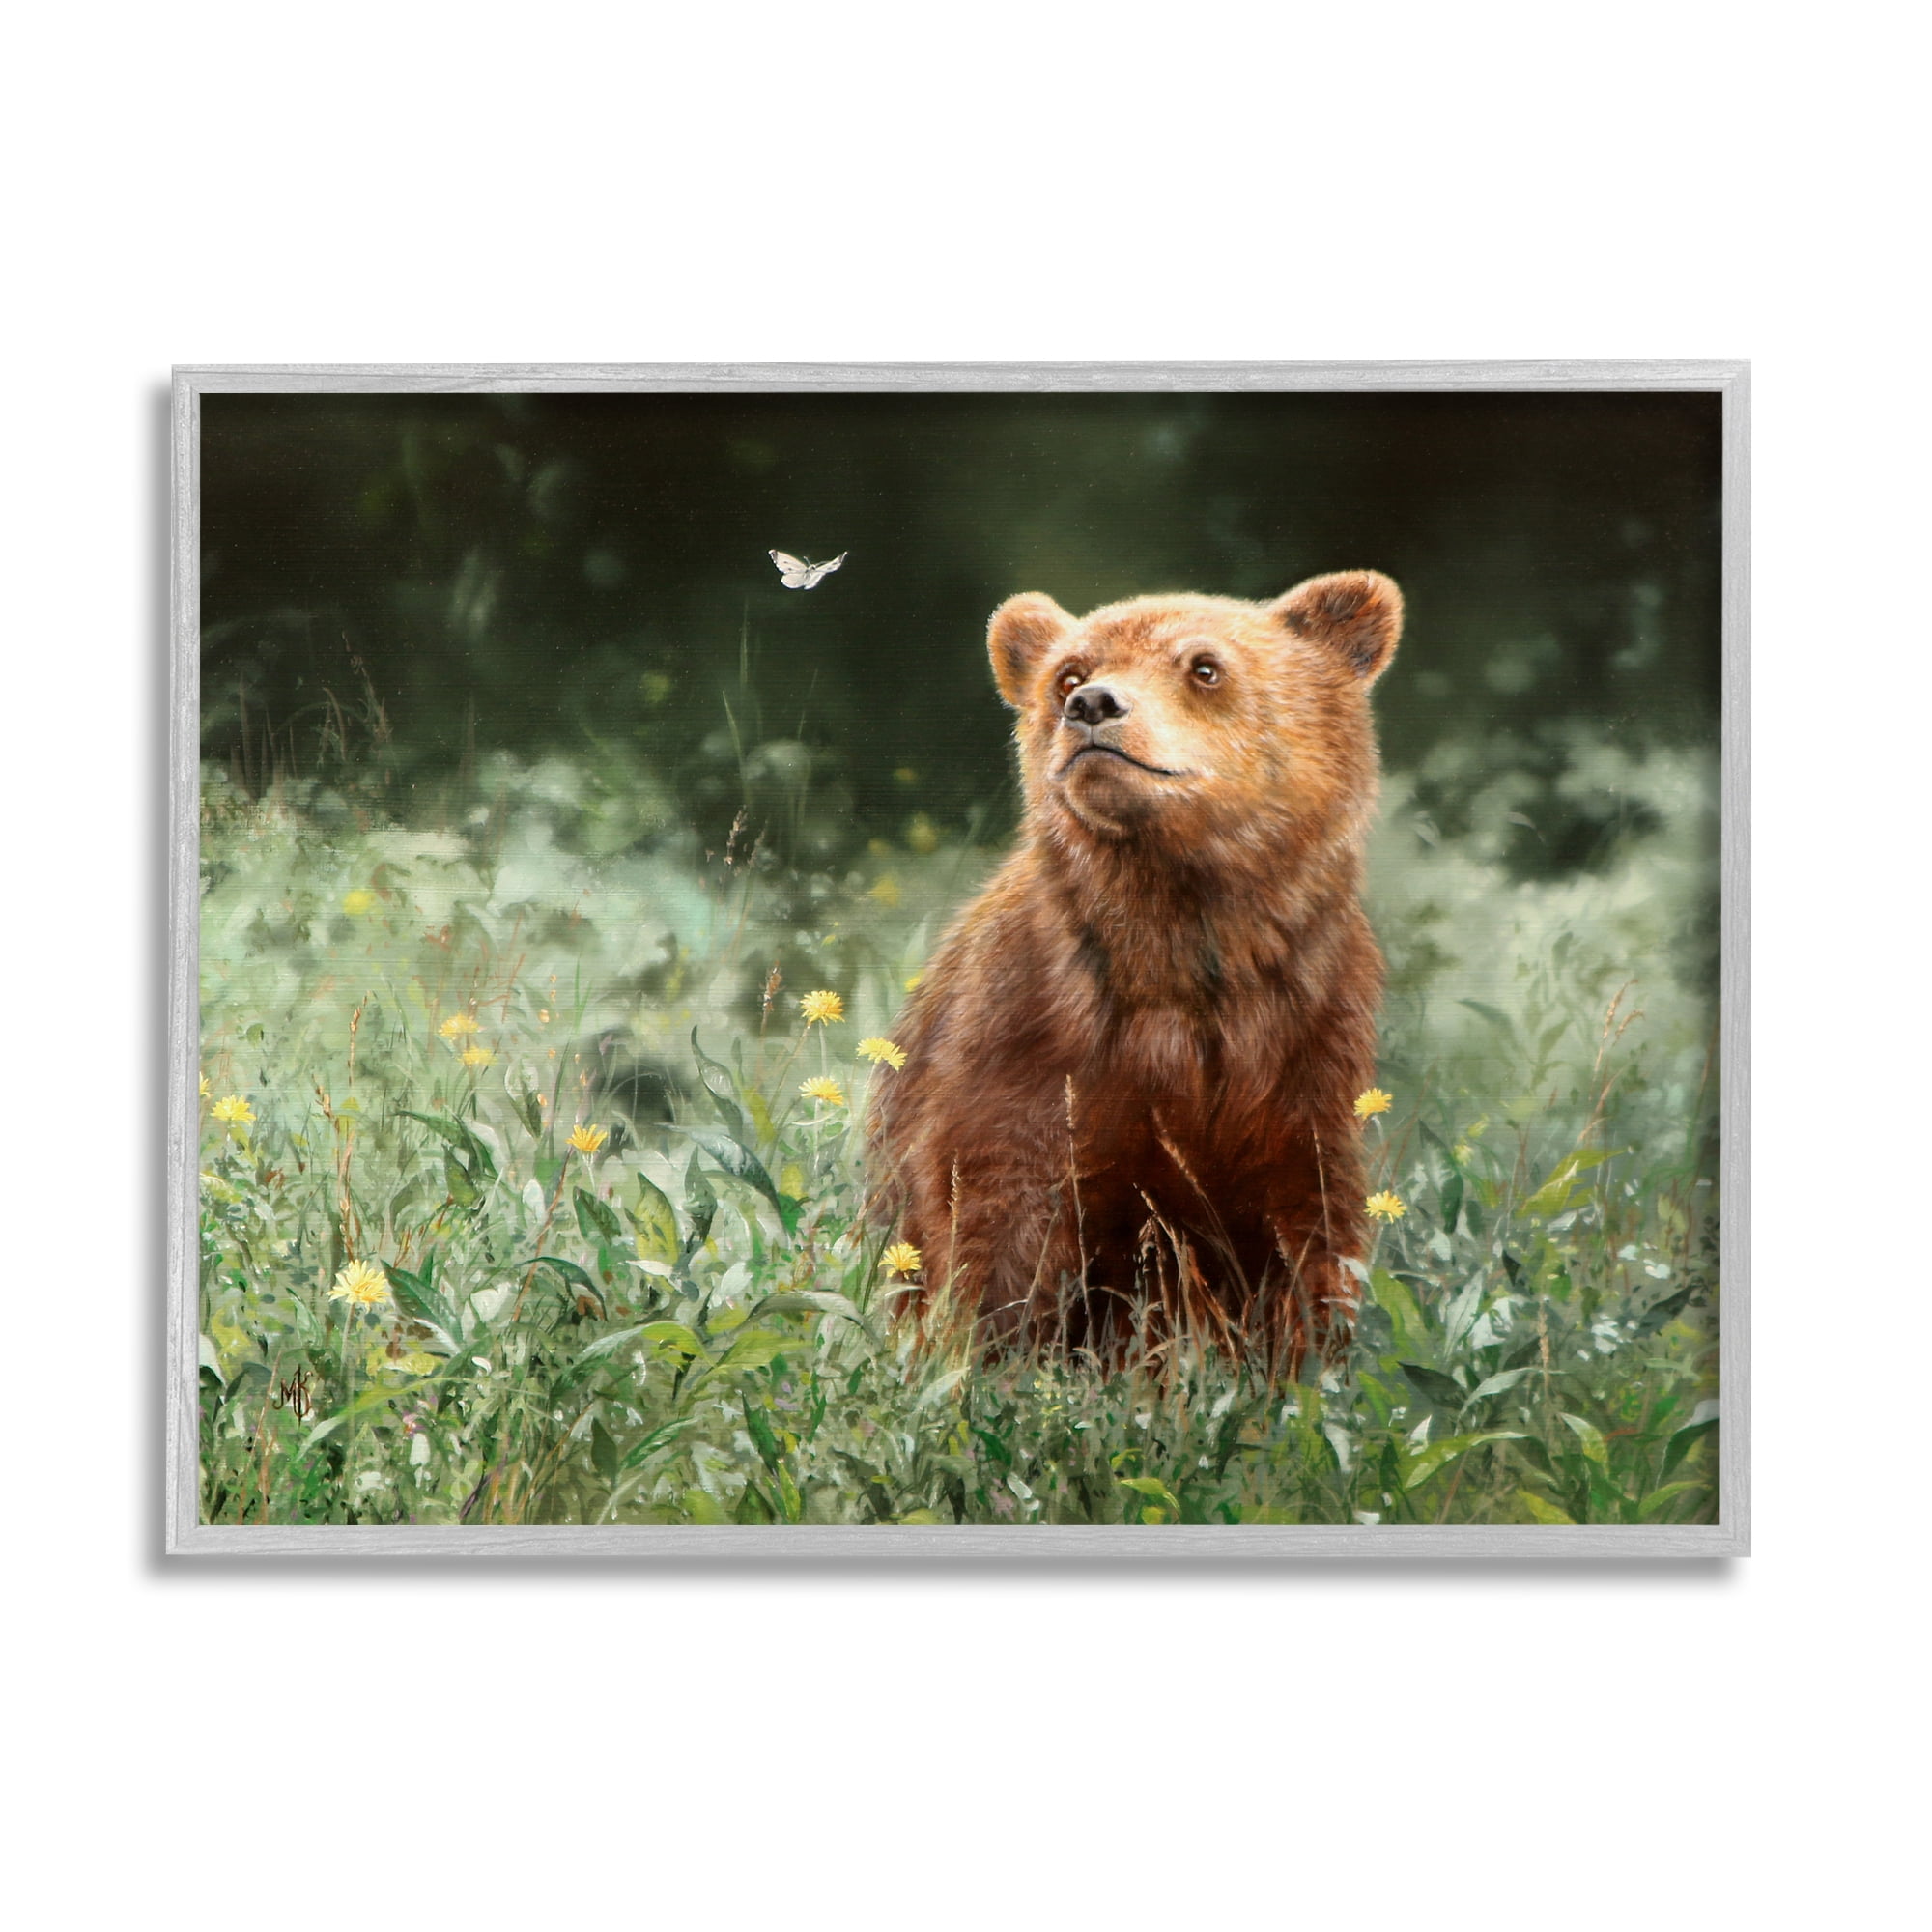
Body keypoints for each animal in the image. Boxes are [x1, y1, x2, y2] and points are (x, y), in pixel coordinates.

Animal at [866, 570, 1402, 1374]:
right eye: (1068, 672)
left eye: (1204, 666)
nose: (1093, 705)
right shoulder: (1028, 1038)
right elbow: (996, 1217)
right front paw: (993, 1357)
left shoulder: (1301, 1043)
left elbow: (1303, 1226)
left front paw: (1296, 1361)